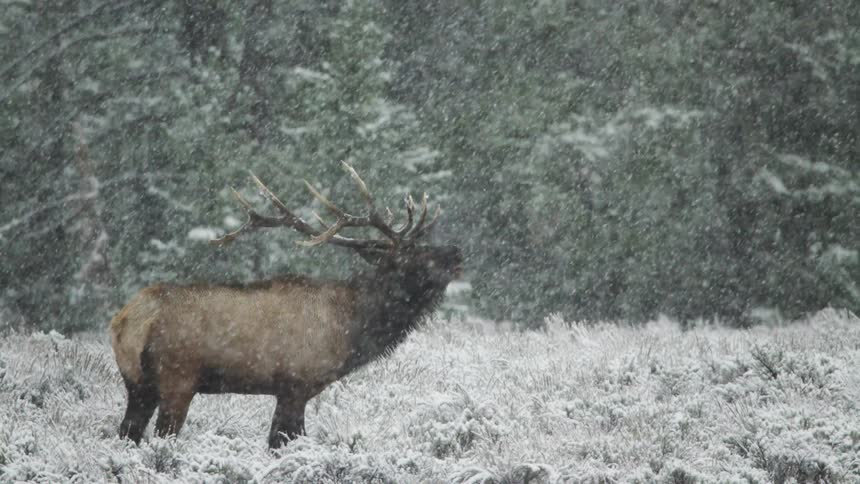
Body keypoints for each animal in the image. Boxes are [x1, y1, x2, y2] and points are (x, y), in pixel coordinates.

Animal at [110, 162, 462, 448]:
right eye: (414, 254)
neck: (351, 329)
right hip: (177, 378)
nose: (457, 252)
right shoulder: (296, 384)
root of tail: (129, 319)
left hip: (136, 384)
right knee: (161, 436)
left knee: (127, 433)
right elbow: (283, 441)